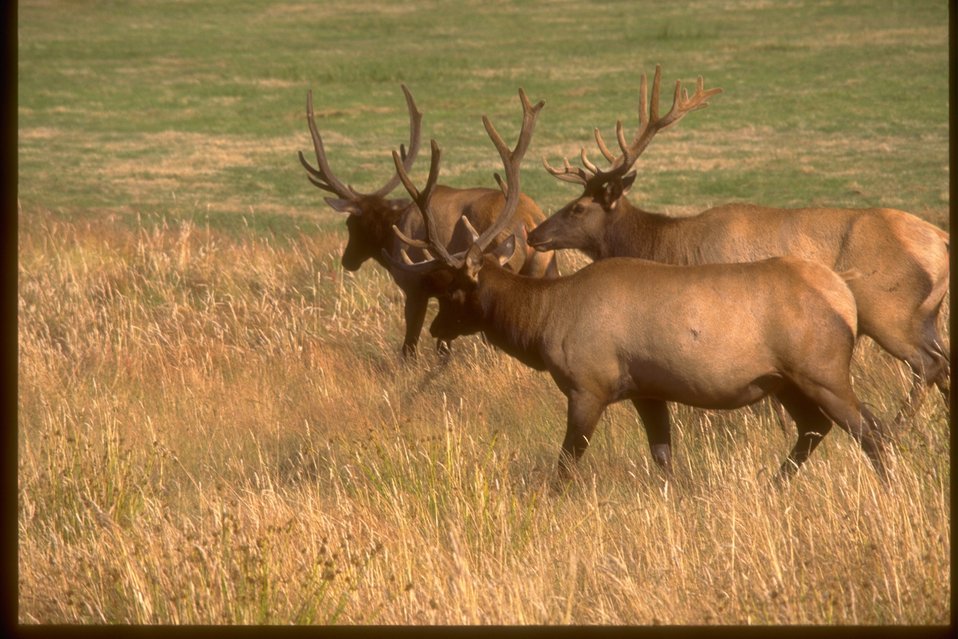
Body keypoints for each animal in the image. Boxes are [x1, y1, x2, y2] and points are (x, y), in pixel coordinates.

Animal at [298, 84, 557, 357]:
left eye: (350, 225)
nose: (348, 260)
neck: (391, 232)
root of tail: (529, 220)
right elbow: (443, 349)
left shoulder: (414, 287)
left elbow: (410, 347)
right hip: (546, 268)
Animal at [386, 91, 891, 485]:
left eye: (454, 288)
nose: (436, 330)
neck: (546, 318)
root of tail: (845, 298)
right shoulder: (648, 389)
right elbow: (664, 459)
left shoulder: (589, 385)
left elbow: (565, 467)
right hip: (784, 380)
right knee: (815, 429)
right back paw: (772, 486)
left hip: (821, 369)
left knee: (871, 430)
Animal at [529, 65, 950, 430]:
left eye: (578, 207)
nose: (534, 235)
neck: (671, 246)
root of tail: (941, 239)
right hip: (926, 316)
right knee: (945, 361)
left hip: (889, 311)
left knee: (927, 365)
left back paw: (898, 428)